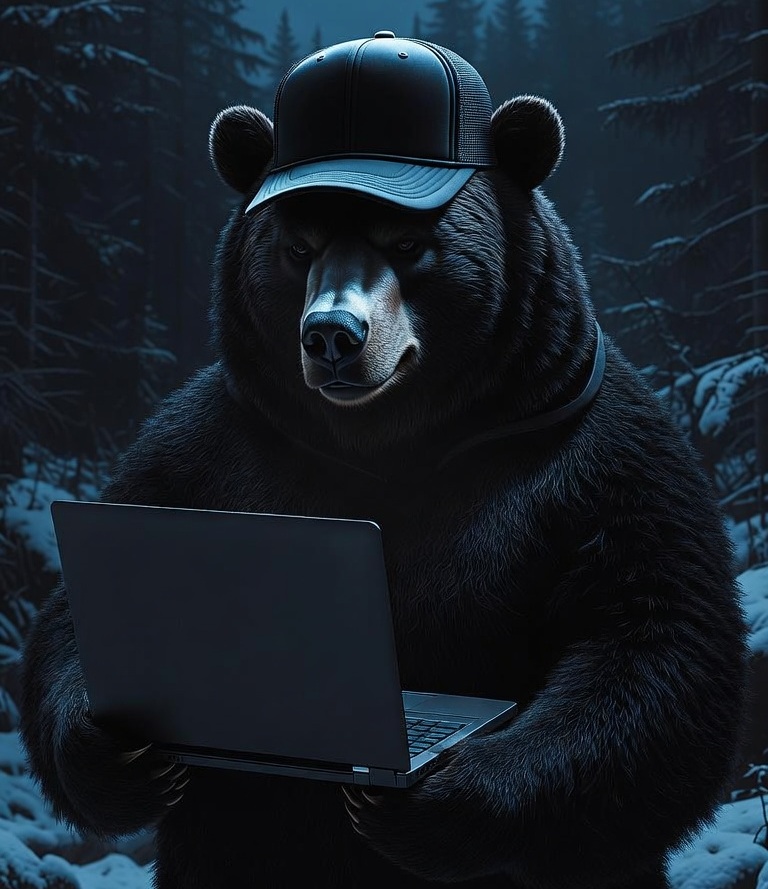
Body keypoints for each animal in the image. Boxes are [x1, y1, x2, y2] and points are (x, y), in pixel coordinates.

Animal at [20, 33, 747, 889]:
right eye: (296, 247)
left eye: (407, 243)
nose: (332, 333)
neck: (393, 442)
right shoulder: (204, 449)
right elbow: (70, 616)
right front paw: (113, 749)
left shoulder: (603, 460)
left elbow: (655, 643)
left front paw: (438, 796)